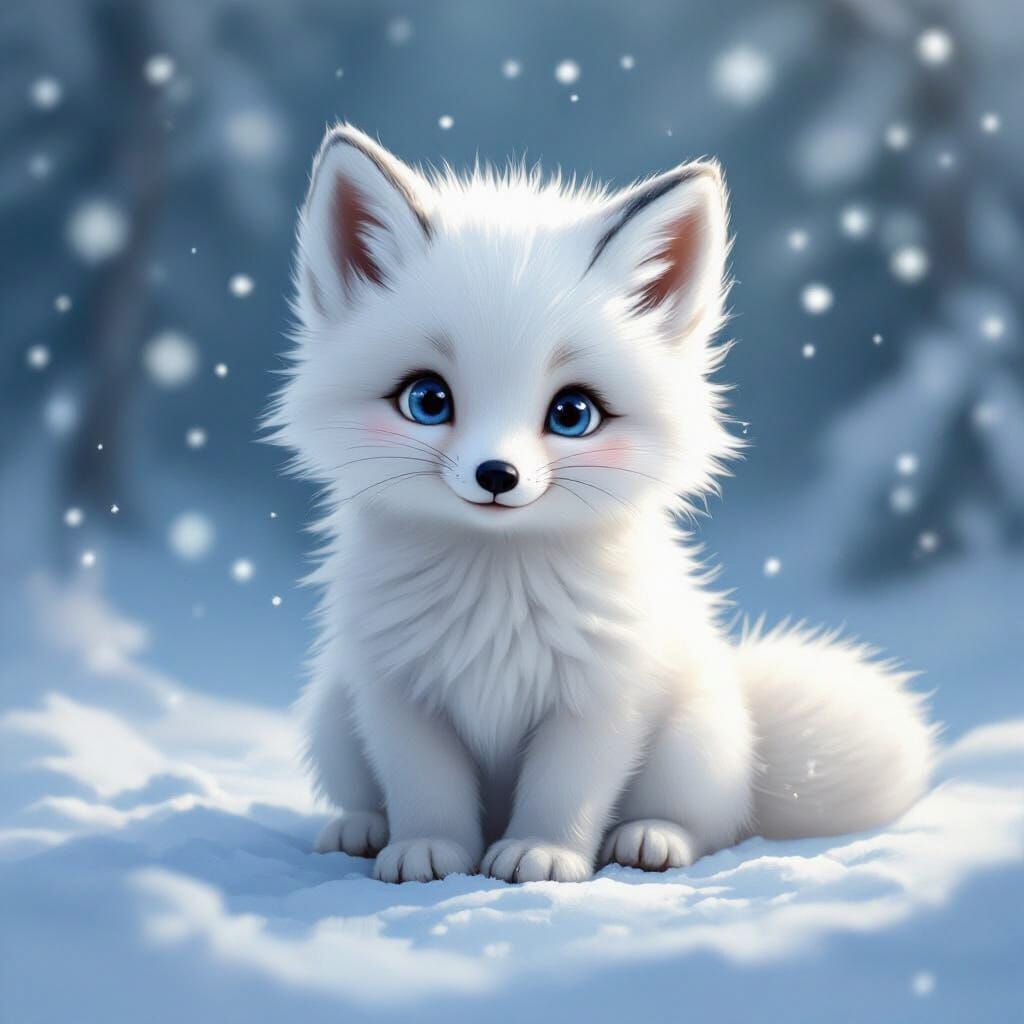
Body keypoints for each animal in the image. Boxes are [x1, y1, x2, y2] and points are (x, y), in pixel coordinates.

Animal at [268, 124, 935, 883]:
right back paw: (360, 829)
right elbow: (424, 789)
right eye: (428, 400)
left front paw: (542, 854)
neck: (498, 590)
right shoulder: (397, 693)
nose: (497, 475)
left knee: (712, 823)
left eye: (572, 414)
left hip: (694, 743)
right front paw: (427, 851)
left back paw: (650, 839)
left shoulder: (602, 698)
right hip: (333, 715)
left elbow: (566, 793)